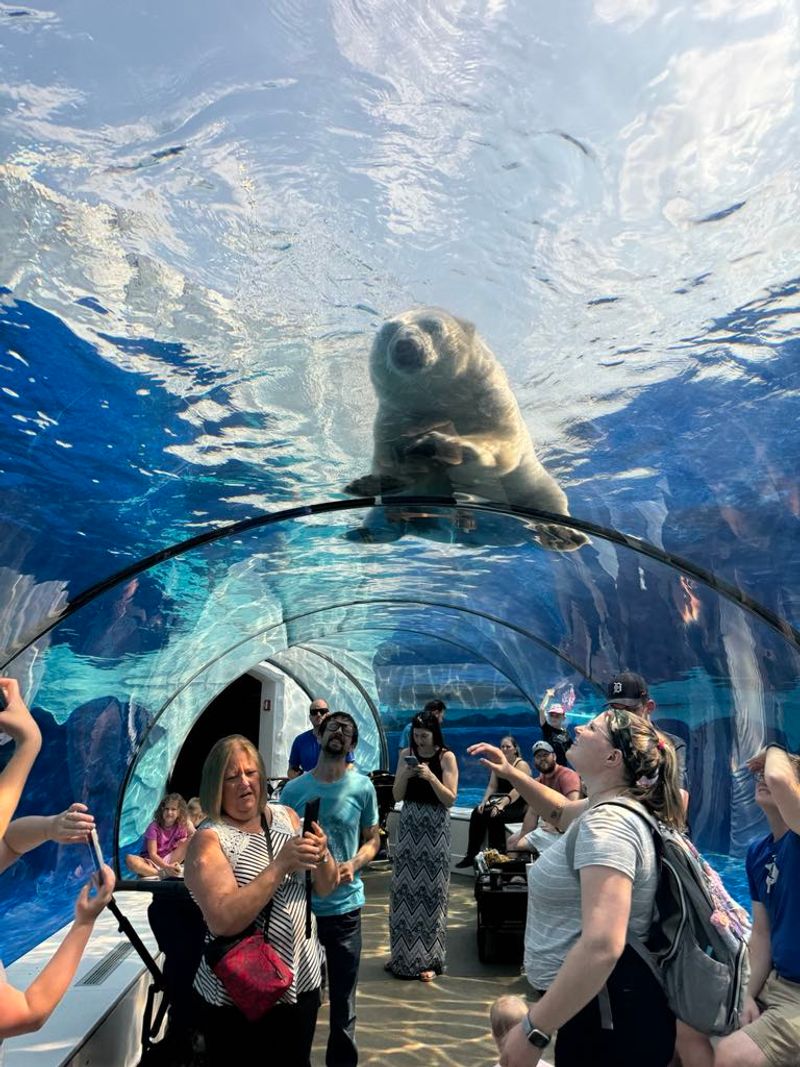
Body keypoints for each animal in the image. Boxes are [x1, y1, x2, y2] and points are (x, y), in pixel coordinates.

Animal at [344, 307, 588, 551]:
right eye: (390, 330)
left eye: (433, 326)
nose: (405, 344)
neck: (439, 399)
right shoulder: (394, 418)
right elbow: (393, 465)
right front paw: (370, 482)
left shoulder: (488, 399)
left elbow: (502, 444)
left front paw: (438, 443)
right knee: (383, 514)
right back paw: (366, 531)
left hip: (530, 485)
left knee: (549, 500)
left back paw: (562, 534)